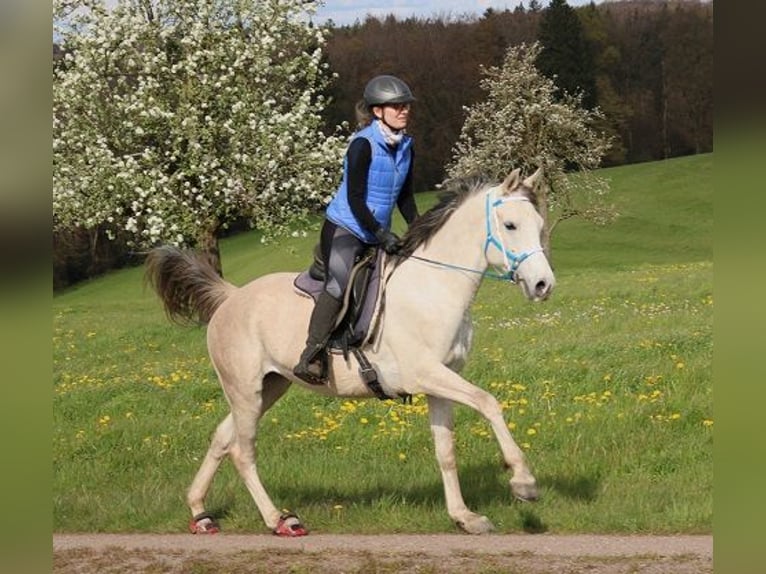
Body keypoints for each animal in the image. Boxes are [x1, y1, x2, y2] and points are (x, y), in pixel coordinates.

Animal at [144, 168, 555, 536]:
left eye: (539, 224)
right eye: (511, 225)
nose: (543, 285)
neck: (434, 287)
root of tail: (230, 297)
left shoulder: (440, 383)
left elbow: (446, 451)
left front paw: (465, 518)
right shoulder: (426, 374)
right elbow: (489, 403)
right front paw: (523, 481)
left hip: (268, 387)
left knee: (221, 438)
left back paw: (200, 513)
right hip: (246, 391)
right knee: (243, 453)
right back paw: (279, 520)